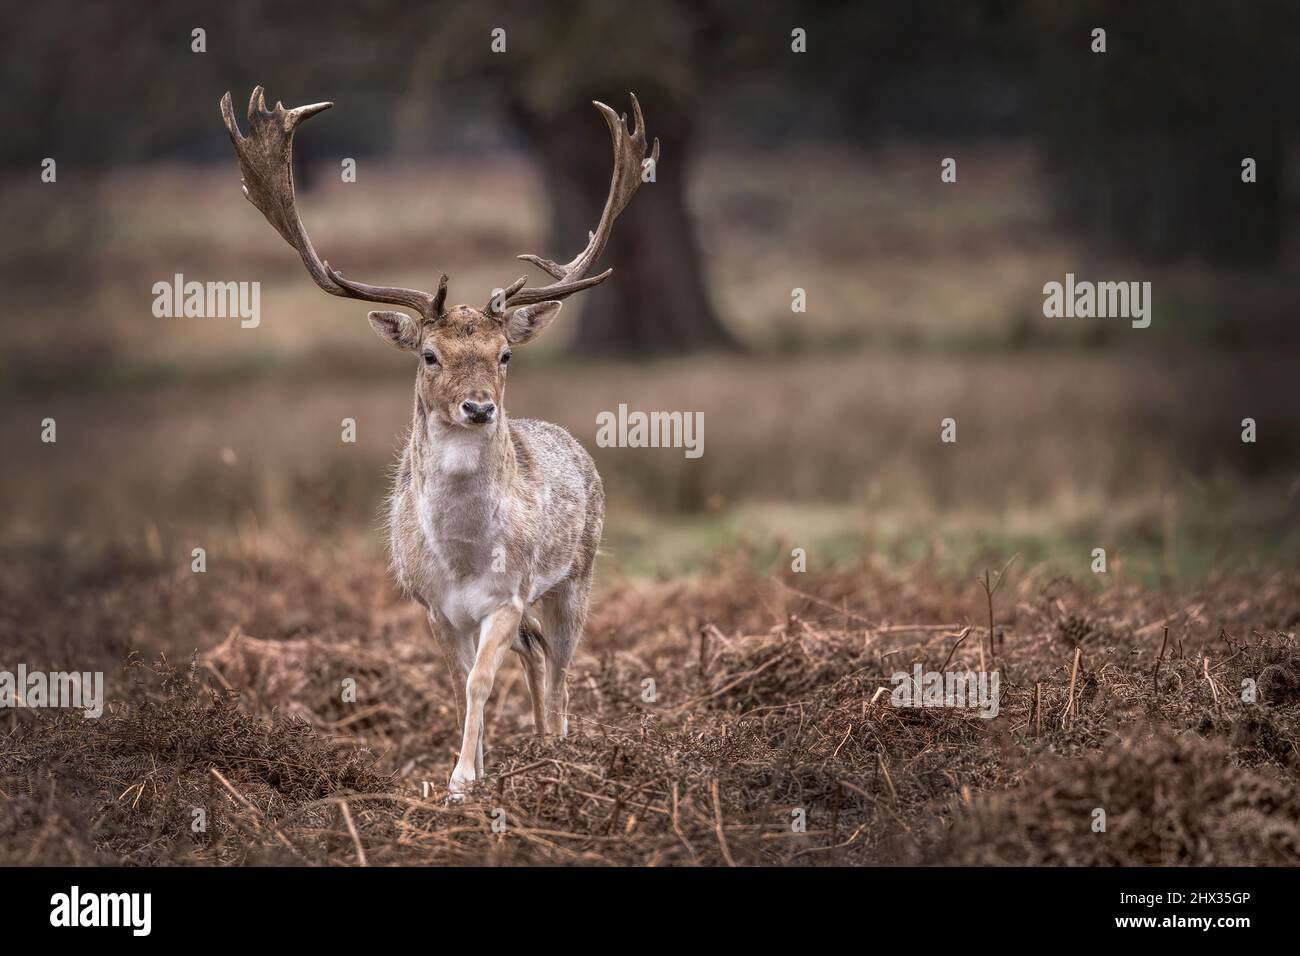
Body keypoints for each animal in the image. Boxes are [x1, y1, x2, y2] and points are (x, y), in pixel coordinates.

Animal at [220, 87, 657, 797]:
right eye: (429, 354)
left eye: (505, 354)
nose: (478, 406)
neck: (462, 560)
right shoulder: (432, 609)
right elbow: (456, 688)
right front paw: (470, 772)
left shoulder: (507, 597)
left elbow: (481, 680)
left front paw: (460, 779)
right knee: (537, 657)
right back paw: (535, 749)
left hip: (578, 574)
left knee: (561, 665)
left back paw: (558, 751)